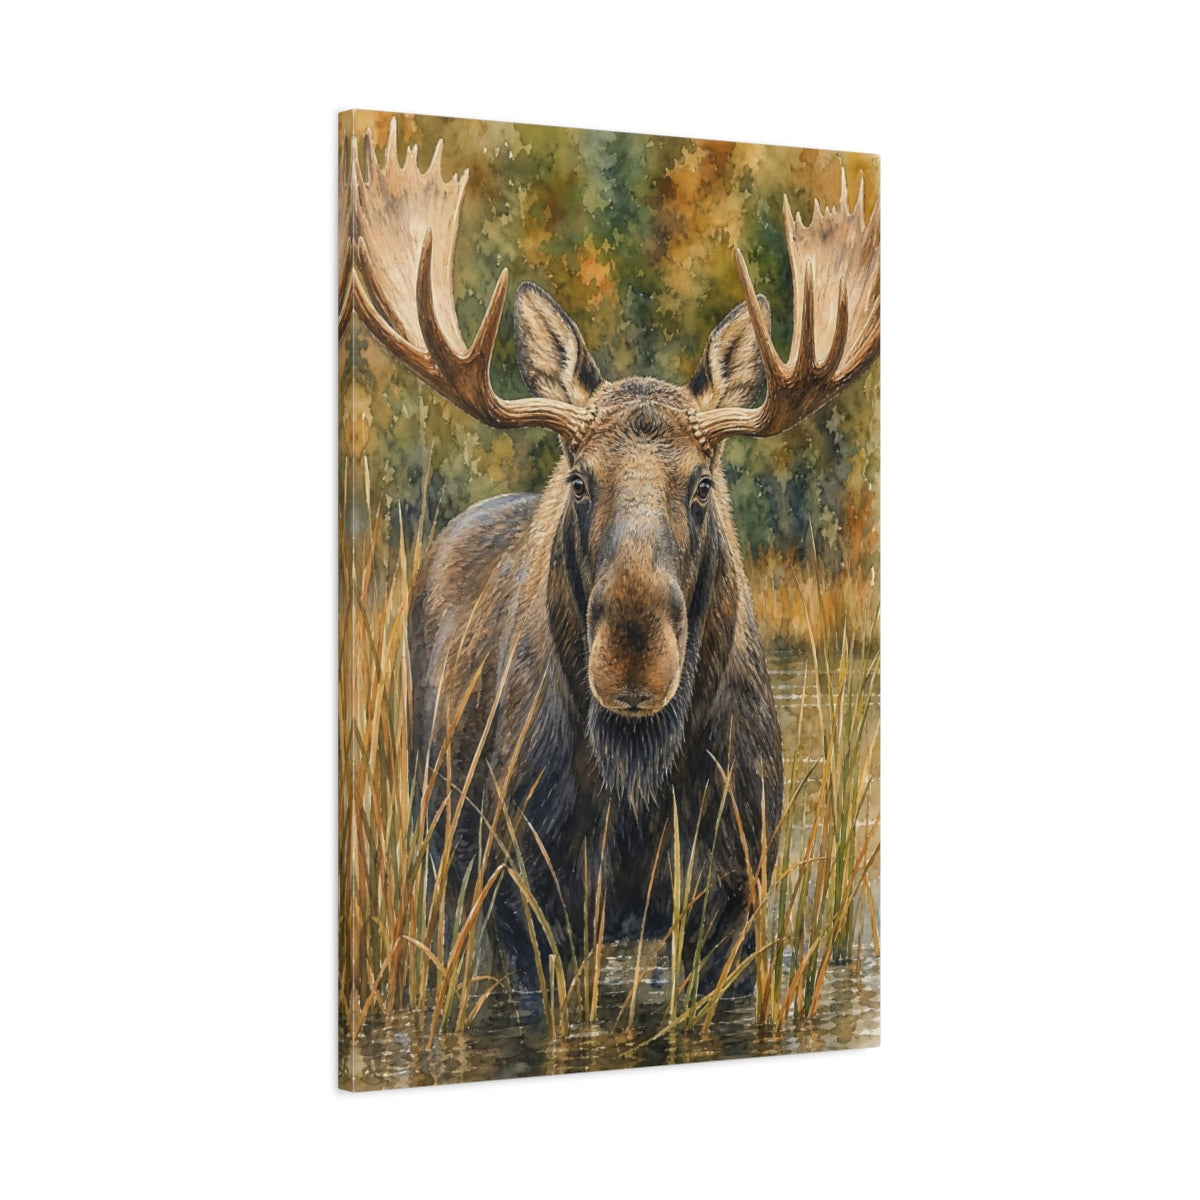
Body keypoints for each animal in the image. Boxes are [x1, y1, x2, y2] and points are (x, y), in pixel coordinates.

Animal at [339, 119, 880, 1001]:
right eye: (581, 479)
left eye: (702, 483)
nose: (632, 656)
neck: (635, 791)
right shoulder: (517, 902)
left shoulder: (738, 900)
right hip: (436, 845)